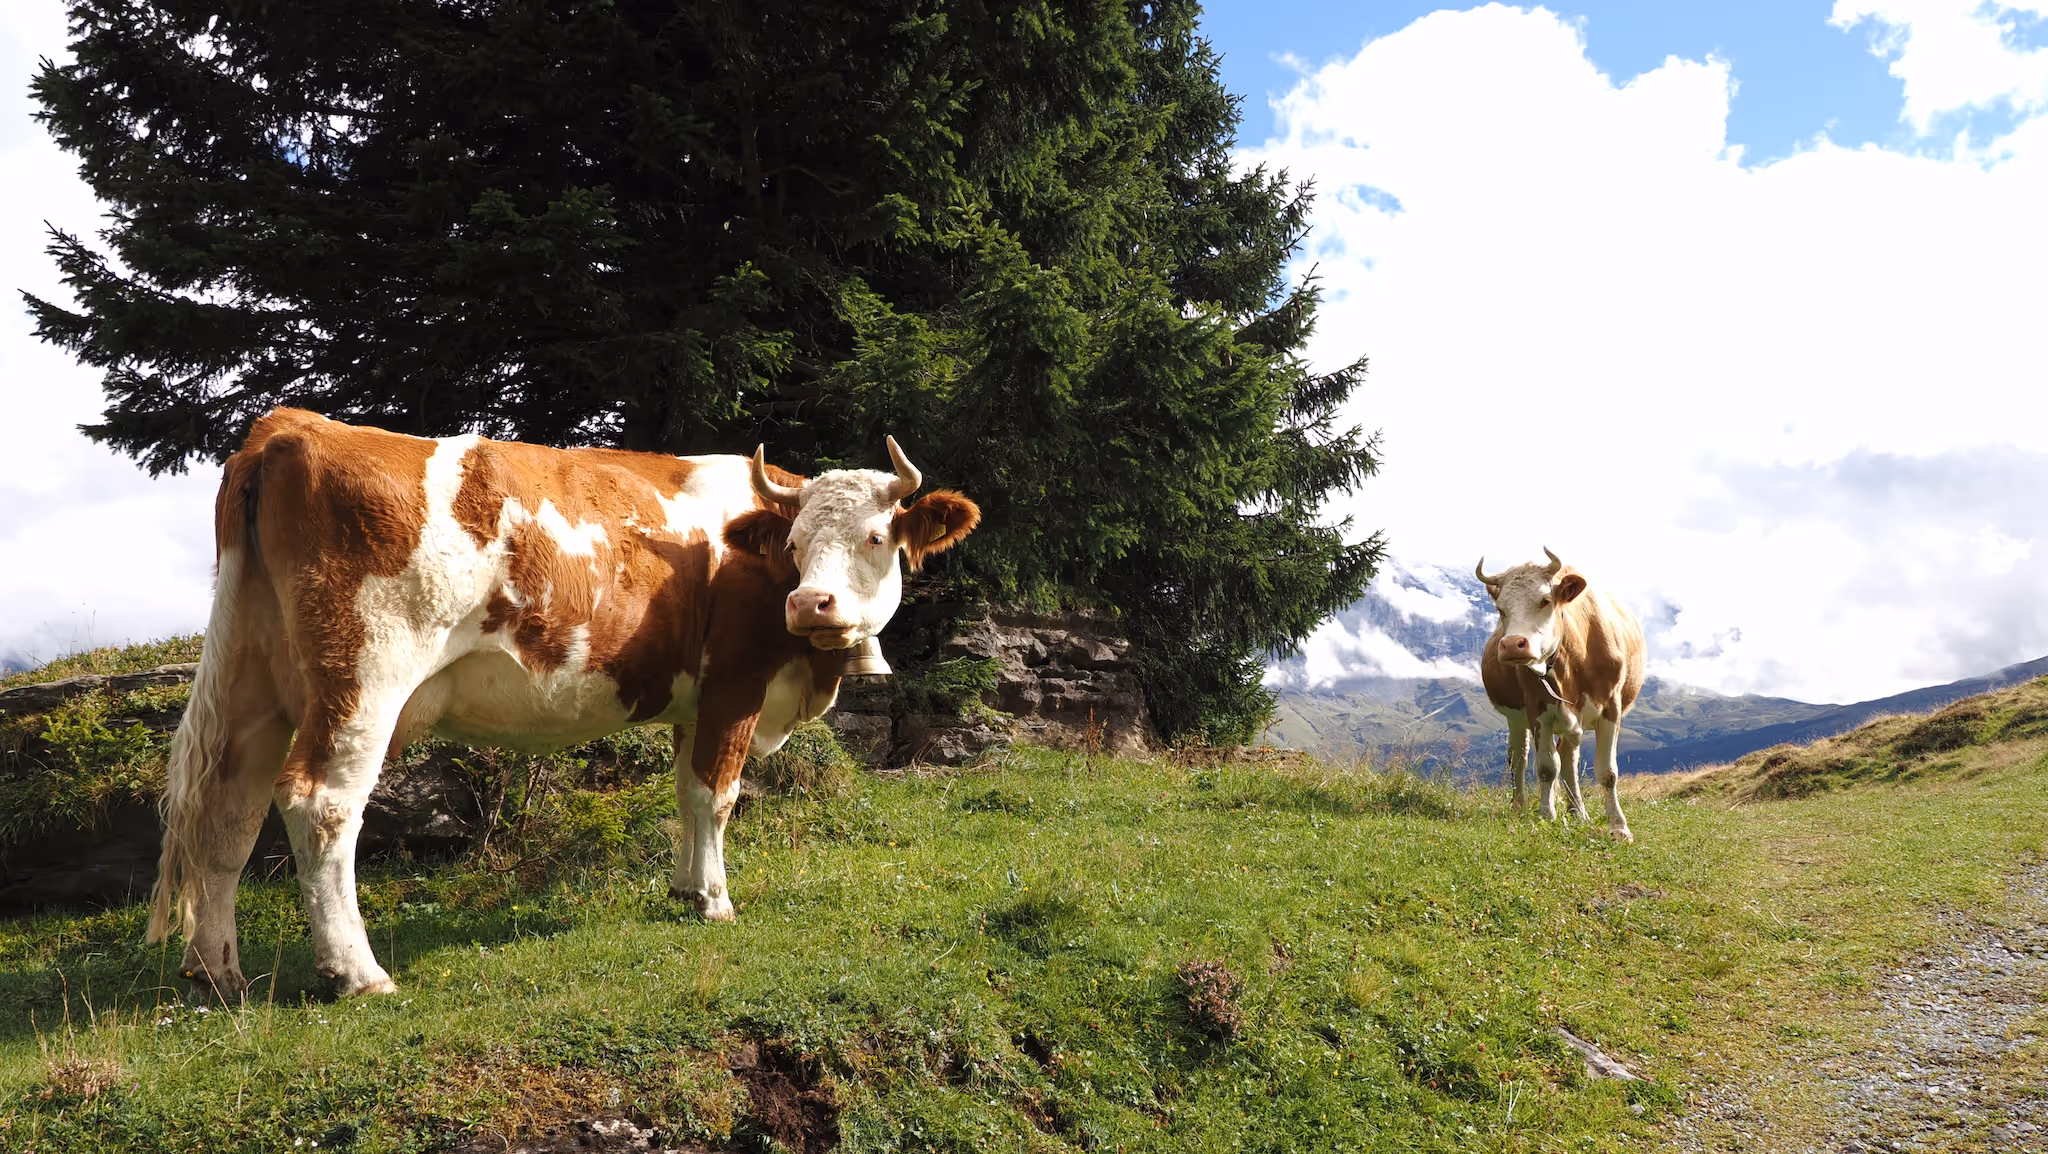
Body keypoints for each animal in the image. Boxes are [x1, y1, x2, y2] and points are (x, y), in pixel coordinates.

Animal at [147, 408, 979, 998]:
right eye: (796, 546)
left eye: (875, 537)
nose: (811, 604)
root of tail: (293, 426)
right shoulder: (736, 683)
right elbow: (717, 794)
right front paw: (715, 900)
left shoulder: (695, 701)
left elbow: (685, 792)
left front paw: (684, 888)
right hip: (364, 678)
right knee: (318, 802)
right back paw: (357, 972)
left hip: (255, 685)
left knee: (228, 809)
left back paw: (217, 971)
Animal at [1474, 549, 1645, 841]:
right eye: (1500, 609)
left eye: (1545, 600)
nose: (1513, 645)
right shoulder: (1538, 710)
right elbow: (1545, 767)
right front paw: (1546, 814)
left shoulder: (1611, 707)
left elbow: (1607, 771)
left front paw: (1619, 827)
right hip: (1516, 719)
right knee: (1519, 756)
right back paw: (1520, 806)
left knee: (1568, 757)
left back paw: (1579, 812)